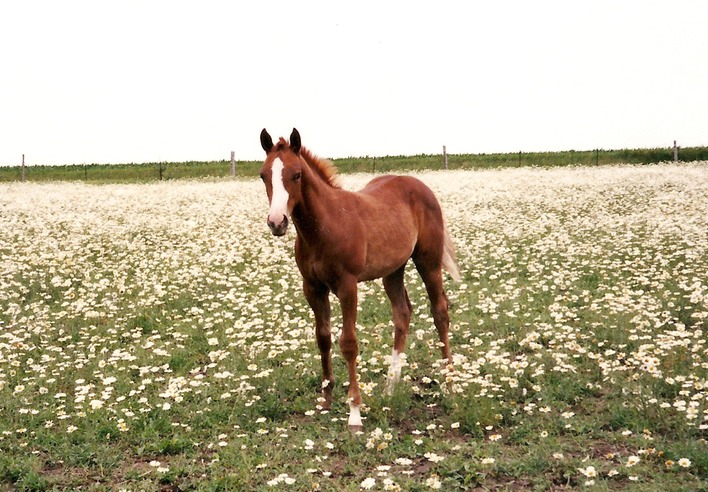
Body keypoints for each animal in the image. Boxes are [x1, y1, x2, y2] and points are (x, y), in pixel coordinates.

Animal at [258, 128, 460, 430]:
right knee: (402, 313)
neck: (324, 226)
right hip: (393, 270)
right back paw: (390, 387)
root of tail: (420, 186)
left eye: (297, 174)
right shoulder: (312, 288)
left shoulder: (347, 285)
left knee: (440, 312)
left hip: (429, 263)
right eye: (263, 175)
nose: (277, 222)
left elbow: (349, 343)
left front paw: (354, 412)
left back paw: (449, 384)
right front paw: (326, 400)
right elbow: (323, 338)